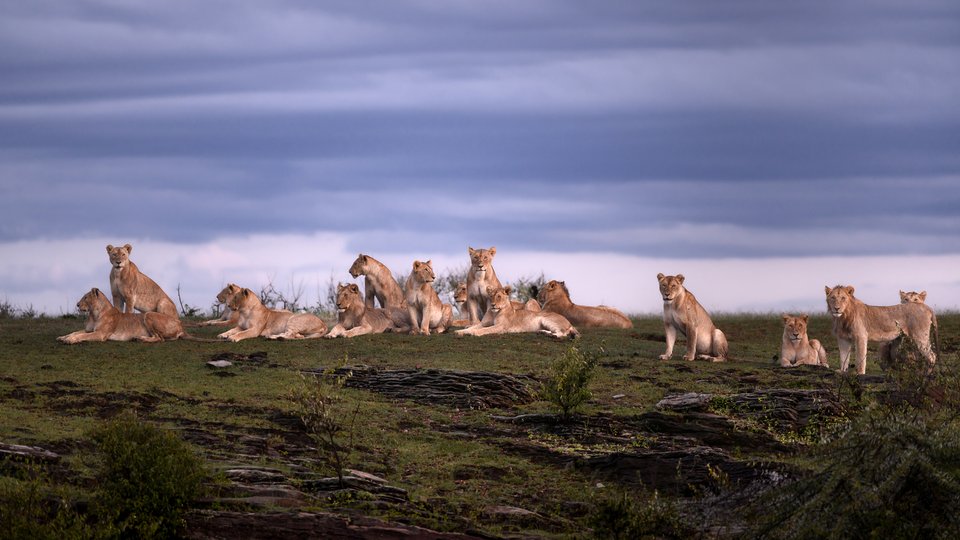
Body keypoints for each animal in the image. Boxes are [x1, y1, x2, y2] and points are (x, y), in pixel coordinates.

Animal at [58, 288, 186, 343]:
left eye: (85, 297)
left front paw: (70, 340)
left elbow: (82, 336)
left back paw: (140, 338)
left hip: (148, 314)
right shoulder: (89, 330)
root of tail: (180, 325)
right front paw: (63, 337)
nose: (77, 305)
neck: (94, 314)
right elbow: (75, 332)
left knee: (160, 338)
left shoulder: (101, 334)